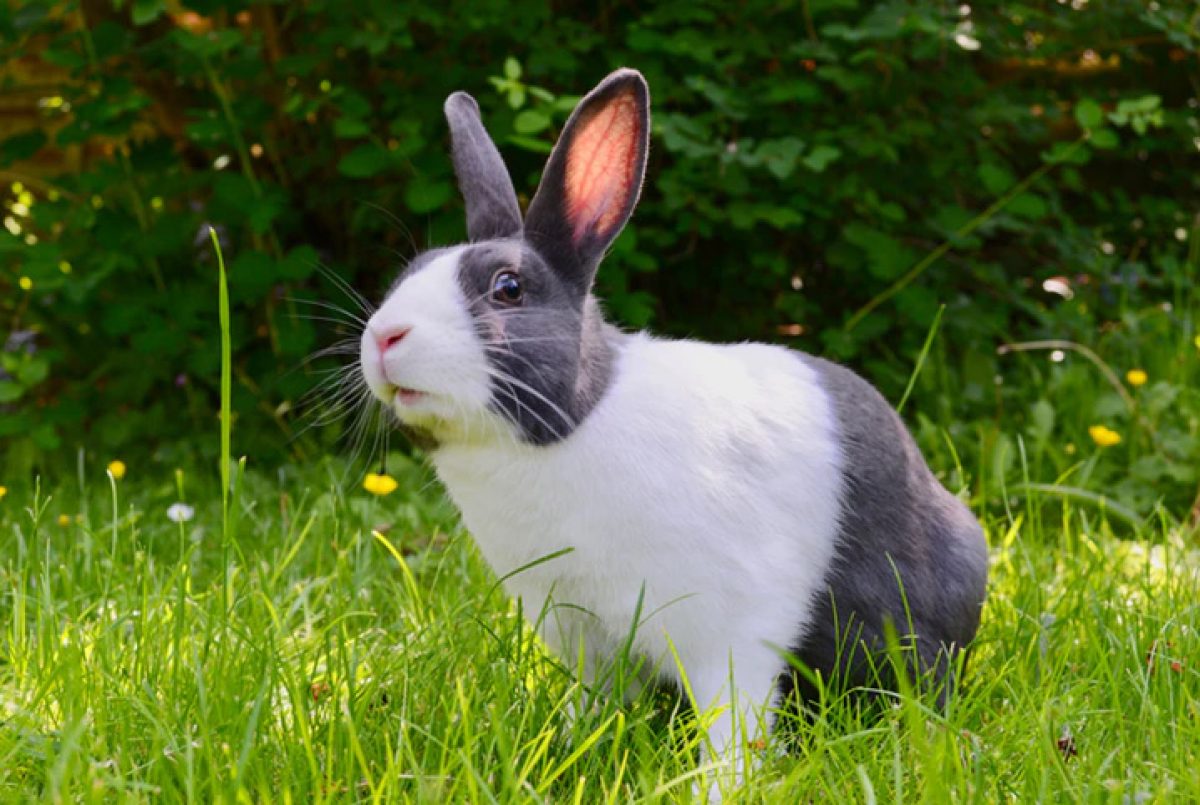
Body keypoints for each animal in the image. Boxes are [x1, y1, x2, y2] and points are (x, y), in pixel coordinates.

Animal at [352, 67, 984, 772]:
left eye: (507, 288)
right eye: (409, 272)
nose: (383, 337)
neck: (571, 426)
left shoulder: (730, 627)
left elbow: (735, 719)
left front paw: (721, 782)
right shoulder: (580, 631)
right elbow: (593, 703)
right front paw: (568, 748)